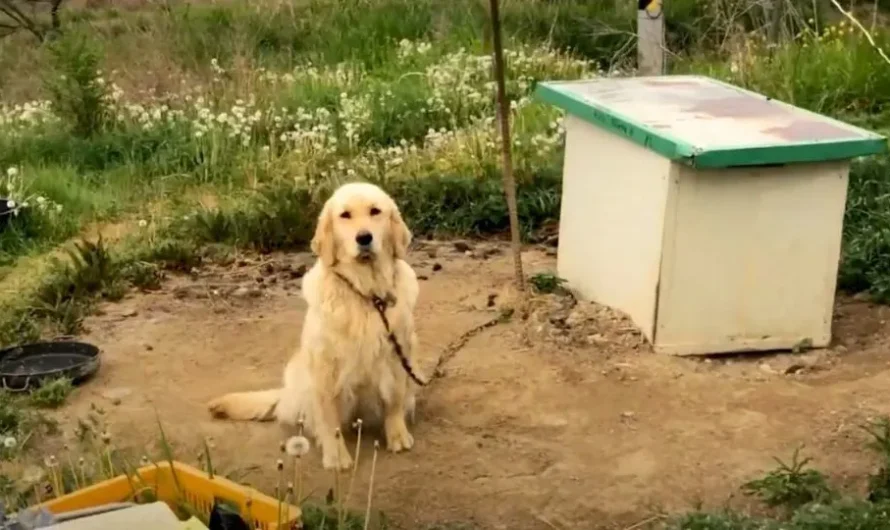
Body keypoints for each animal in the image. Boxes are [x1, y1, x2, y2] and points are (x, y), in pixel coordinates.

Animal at [206, 180, 422, 466]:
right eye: (345, 215)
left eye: (375, 211)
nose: (364, 238)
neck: (366, 292)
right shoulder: (325, 365)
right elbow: (328, 417)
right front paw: (336, 454)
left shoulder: (398, 352)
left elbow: (394, 400)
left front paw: (397, 435)